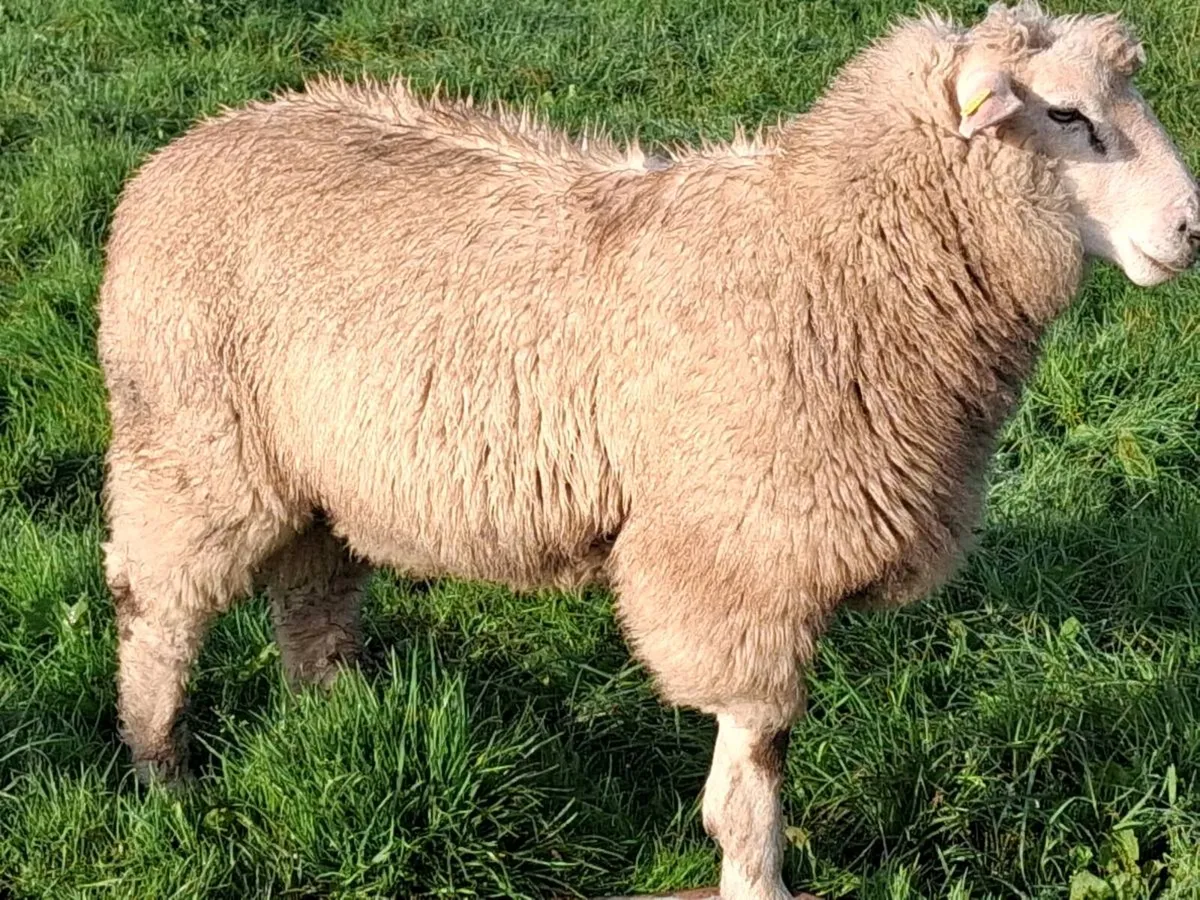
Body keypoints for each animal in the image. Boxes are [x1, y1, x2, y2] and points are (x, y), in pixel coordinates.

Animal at [98, 1, 1198, 897]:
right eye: (1066, 116)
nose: (1192, 229)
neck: (836, 257)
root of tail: (184, 148)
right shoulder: (738, 564)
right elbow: (757, 772)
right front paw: (756, 879)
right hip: (187, 447)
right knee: (157, 613)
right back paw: (164, 778)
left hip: (317, 474)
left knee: (312, 600)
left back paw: (338, 725)